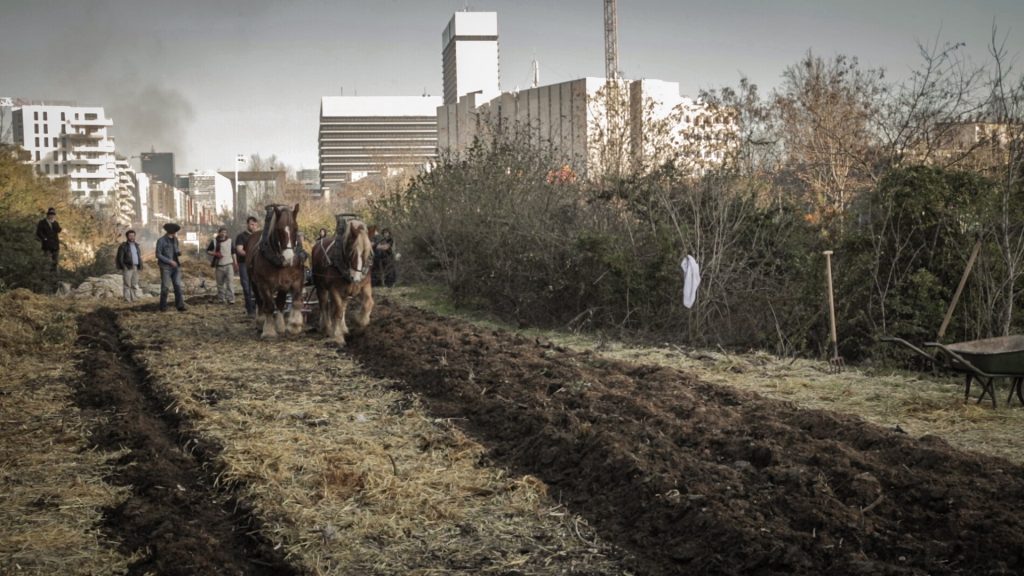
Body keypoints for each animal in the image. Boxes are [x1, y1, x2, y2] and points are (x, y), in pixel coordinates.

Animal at [246, 201, 305, 336]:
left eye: (296, 228)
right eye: (278, 229)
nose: (289, 258)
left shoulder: (293, 280)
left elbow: (293, 302)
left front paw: (294, 325)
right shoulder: (264, 284)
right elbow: (269, 305)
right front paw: (268, 330)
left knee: (279, 302)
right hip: (254, 283)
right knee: (260, 302)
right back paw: (260, 321)